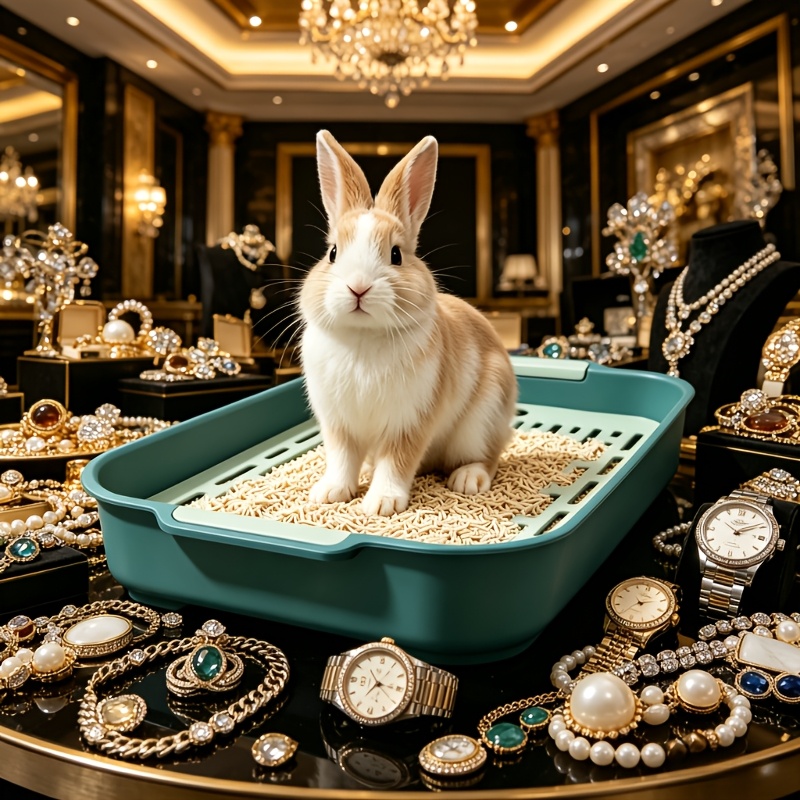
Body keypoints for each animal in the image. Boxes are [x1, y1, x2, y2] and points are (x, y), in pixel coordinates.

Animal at [299, 130, 518, 516]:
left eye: (396, 255)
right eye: (333, 253)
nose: (358, 287)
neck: (363, 337)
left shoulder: (410, 422)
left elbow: (397, 462)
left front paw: (381, 504)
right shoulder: (338, 425)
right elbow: (341, 459)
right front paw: (329, 493)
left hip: (482, 422)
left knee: (488, 456)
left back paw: (468, 479)